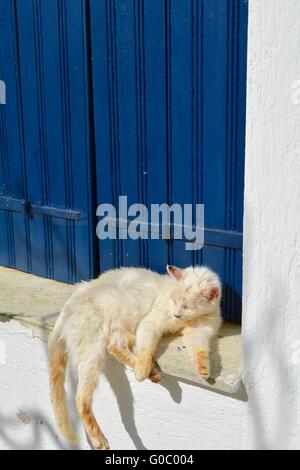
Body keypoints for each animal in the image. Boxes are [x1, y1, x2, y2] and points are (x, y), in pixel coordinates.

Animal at [49, 266, 221, 450]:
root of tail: (66, 307)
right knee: (81, 399)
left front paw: (204, 369)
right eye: (174, 300)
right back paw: (99, 438)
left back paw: (151, 373)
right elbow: (146, 349)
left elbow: (200, 350)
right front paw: (142, 369)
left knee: (114, 347)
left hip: (122, 330)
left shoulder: (200, 331)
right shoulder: (151, 322)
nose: (176, 314)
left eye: (187, 307)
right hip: (93, 351)